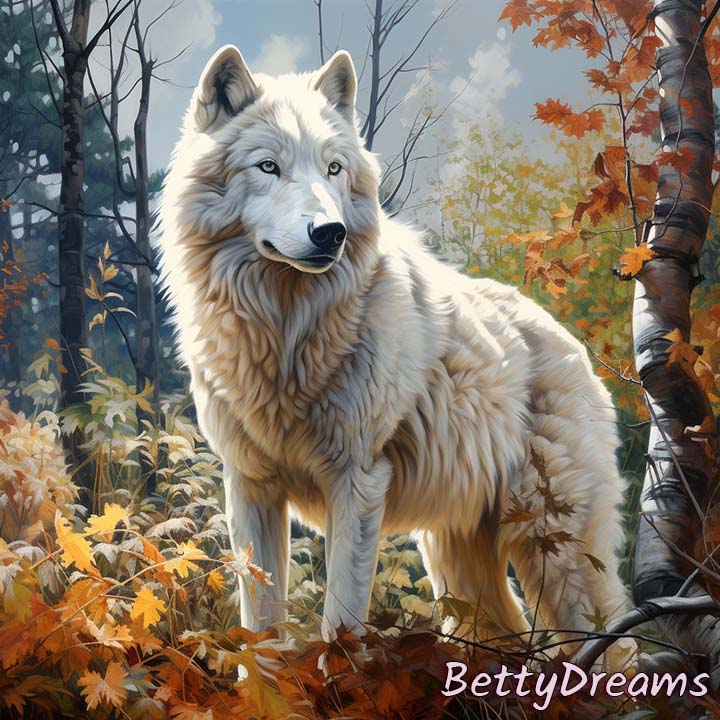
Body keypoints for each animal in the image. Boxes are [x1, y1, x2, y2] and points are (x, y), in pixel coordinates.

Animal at [160, 45, 633, 663]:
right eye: (268, 167)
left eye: (334, 169)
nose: (330, 232)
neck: (287, 332)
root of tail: (577, 348)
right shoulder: (250, 485)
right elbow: (259, 627)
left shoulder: (358, 482)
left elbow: (340, 621)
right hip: (459, 560)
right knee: (502, 631)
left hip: (556, 549)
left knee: (615, 639)